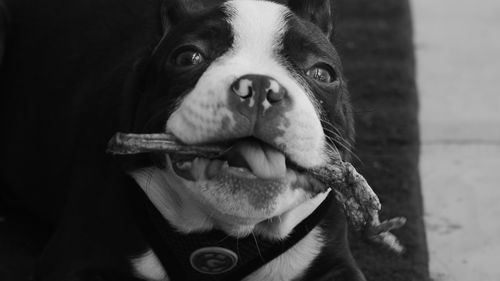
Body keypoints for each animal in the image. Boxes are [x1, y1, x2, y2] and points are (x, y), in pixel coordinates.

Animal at [0, 0, 368, 280]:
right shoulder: (76, 258)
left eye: (322, 73)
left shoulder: (335, 263)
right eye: (188, 57)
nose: (260, 86)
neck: (226, 234)